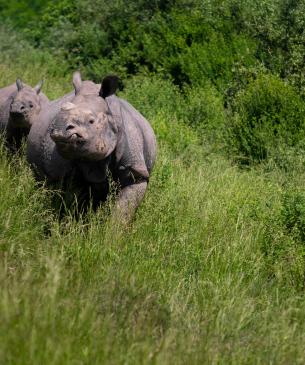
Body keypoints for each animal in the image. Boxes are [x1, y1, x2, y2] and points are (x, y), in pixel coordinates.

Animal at [27, 71, 157, 219]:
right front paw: (76, 223)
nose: (58, 130)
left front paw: (112, 226)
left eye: (91, 121)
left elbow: (124, 209)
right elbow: (74, 204)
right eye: (58, 114)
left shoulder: (135, 172)